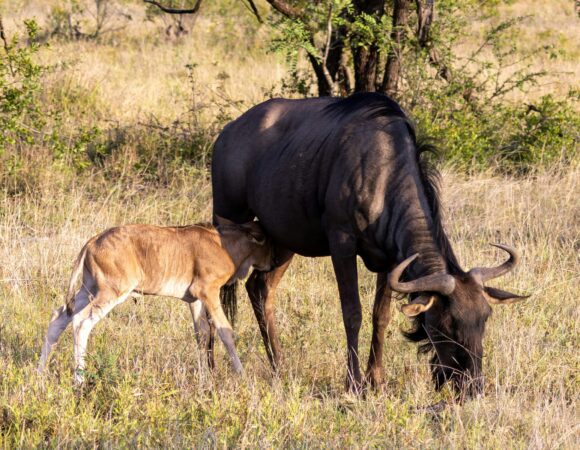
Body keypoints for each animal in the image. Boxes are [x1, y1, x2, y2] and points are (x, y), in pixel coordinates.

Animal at [38, 218, 272, 384]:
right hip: (111, 292)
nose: (272, 263)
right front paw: (242, 375)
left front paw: (204, 380)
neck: (223, 243)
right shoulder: (208, 292)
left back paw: (39, 374)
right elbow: (226, 332)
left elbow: (202, 334)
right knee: (82, 322)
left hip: (89, 288)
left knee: (60, 316)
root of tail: (93, 241)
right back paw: (79, 380)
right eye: (268, 242)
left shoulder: (195, 299)